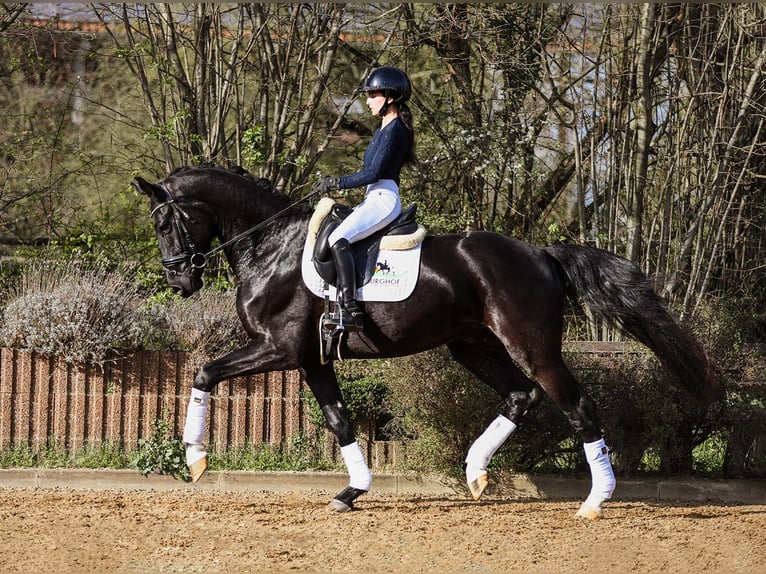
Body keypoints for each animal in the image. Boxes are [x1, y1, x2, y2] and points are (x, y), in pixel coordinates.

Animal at [135, 164, 724, 520]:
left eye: (165, 222)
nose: (178, 281)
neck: (270, 244)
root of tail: (541, 253)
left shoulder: (277, 348)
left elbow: (204, 372)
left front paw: (194, 459)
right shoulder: (309, 359)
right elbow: (340, 420)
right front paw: (353, 491)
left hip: (532, 348)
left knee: (576, 405)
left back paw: (595, 501)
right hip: (473, 345)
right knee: (522, 395)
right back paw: (476, 472)